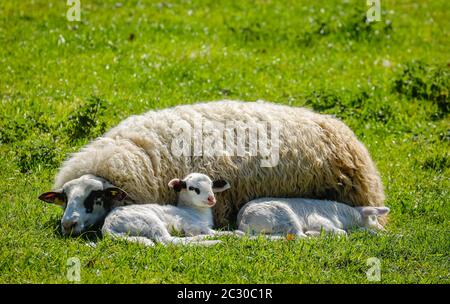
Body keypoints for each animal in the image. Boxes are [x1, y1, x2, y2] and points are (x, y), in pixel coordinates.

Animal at [100, 172, 237, 246]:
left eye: (212, 185)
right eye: (192, 188)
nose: (211, 199)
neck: (193, 210)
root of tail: (108, 225)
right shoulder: (192, 224)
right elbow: (220, 232)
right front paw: (235, 235)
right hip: (150, 221)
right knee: (169, 241)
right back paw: (211, 241)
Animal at [237, 197, 388, 238]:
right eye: (374, 218)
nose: (385, 231)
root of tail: (244, 220)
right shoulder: (319, 221)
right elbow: (342, 232)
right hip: (285, 215)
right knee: (299, 236)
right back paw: (312, 235)